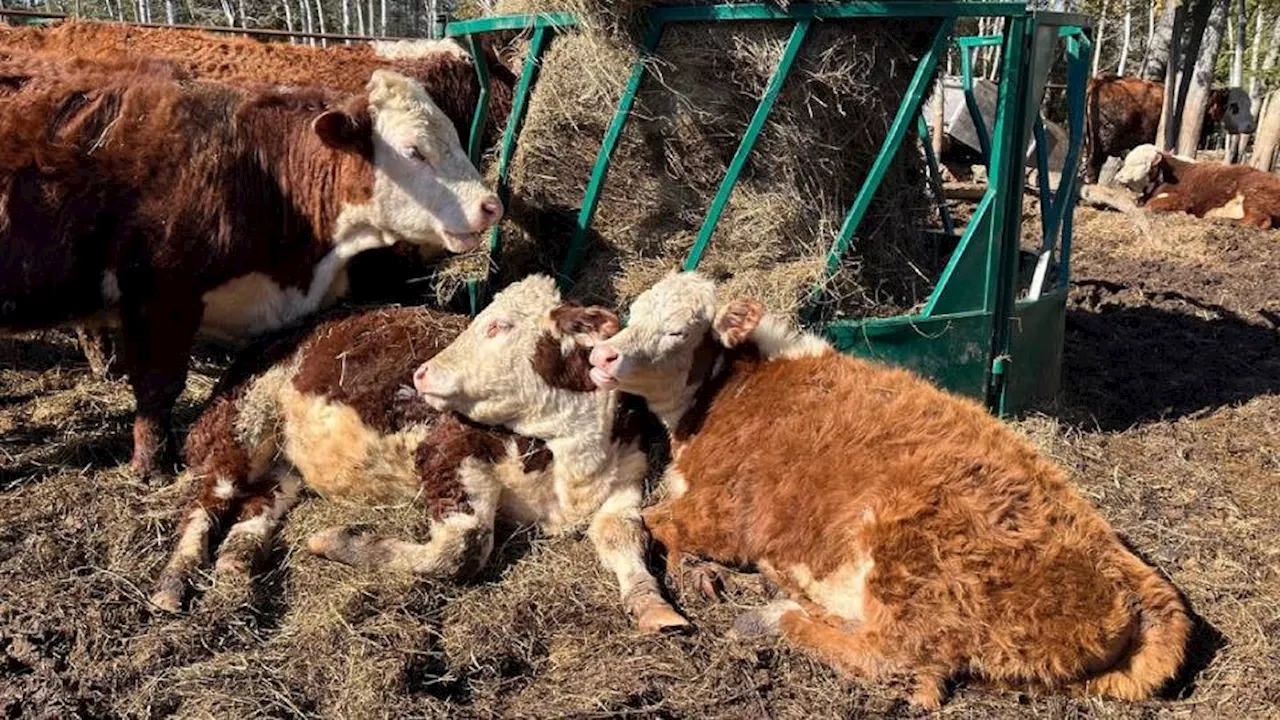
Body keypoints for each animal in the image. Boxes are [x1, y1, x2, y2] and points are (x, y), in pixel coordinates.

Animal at [154, 275, 696, 632]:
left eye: (499, 326)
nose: (421, 373)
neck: (568, 458)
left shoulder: (626, 480)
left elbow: (626, 537)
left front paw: (654, 606)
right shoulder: (448, 451)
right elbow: (463, 549)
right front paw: (340, 541)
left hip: (284, 467)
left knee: (255, 505)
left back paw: (236, 563)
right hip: (240, 423)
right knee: (204, 502)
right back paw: (173, 583)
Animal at [568, 270, 1187, 707]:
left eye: (678, 330)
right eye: (633, 312)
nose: (603, 355)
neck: (726, 393)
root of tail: (1127, 572)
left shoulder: (722, 514)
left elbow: (640, 522)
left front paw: (686, 577)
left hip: (910, 562)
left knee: (904, 664)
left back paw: (772, 616)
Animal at [1116, 142, 1280, 226]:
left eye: (1140, 163)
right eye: (1126, 161)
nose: (1118, 177)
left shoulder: (1184, 199)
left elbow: (1150, 205)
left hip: (1252, 193)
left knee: (1261, 220)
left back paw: (1223, 221)